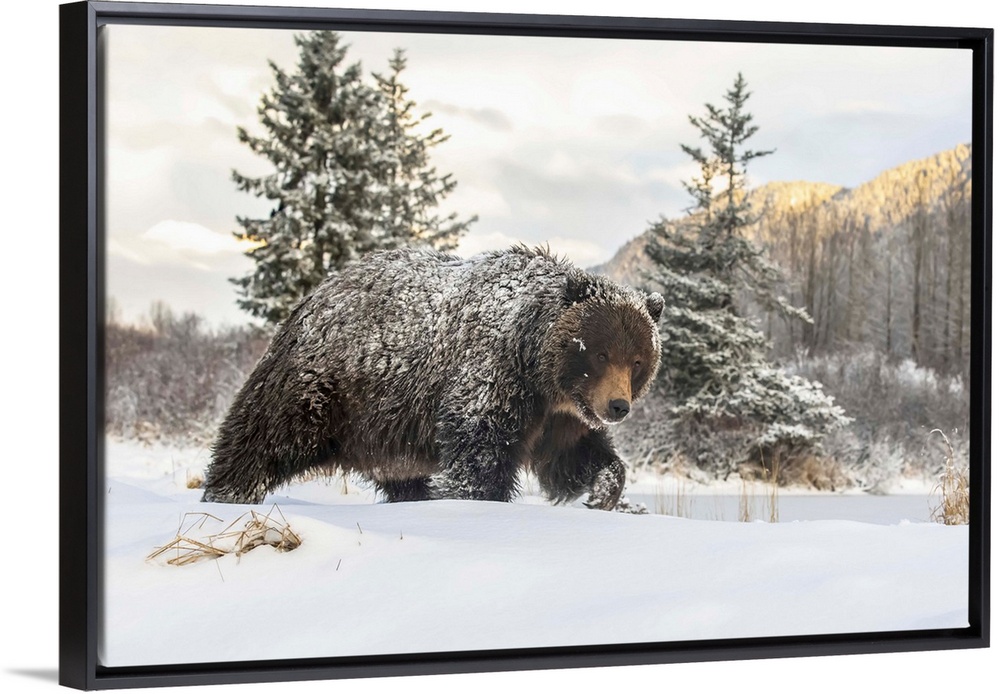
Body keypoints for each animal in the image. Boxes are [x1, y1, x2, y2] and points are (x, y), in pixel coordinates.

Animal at [202, 245, 664, 512]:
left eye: (638, 360)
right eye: (600, 352)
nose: (618, 406)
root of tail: (312, 297)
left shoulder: (558, 414)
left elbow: (573, 456)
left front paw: (603, 491)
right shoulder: (493, 377)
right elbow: (479, 452)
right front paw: (472, 498)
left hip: (384, 434)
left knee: (401, 476)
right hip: (324, 387)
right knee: (263, 436)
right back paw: (227, 493)